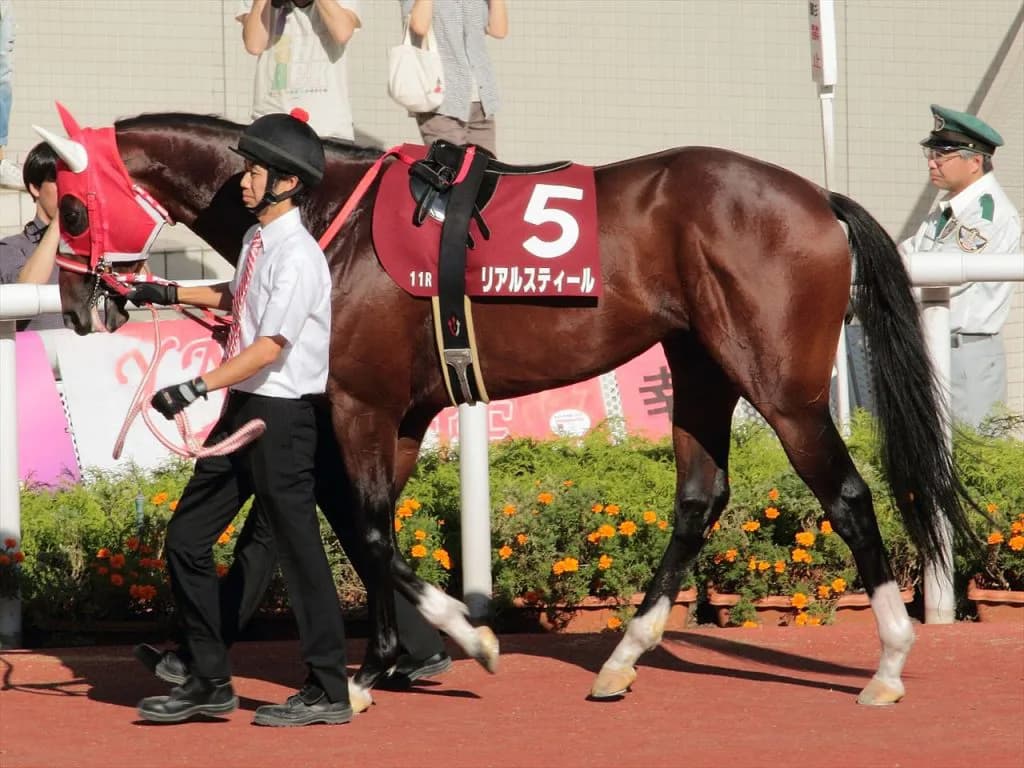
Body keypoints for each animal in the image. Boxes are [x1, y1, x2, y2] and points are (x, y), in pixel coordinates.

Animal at [39, 110, 978, 706]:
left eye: (71, 208)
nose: (84, 309)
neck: (323, 212)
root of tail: (820, 199)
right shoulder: (397, 410)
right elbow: (359, 525)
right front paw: (399, 656)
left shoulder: (361, 399)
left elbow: (366, 527)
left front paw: (420, 652)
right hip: (701, 364)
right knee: (699, 498)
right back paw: (623, 656)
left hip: (780, 385)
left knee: (847, 496)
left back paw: (889, 663)